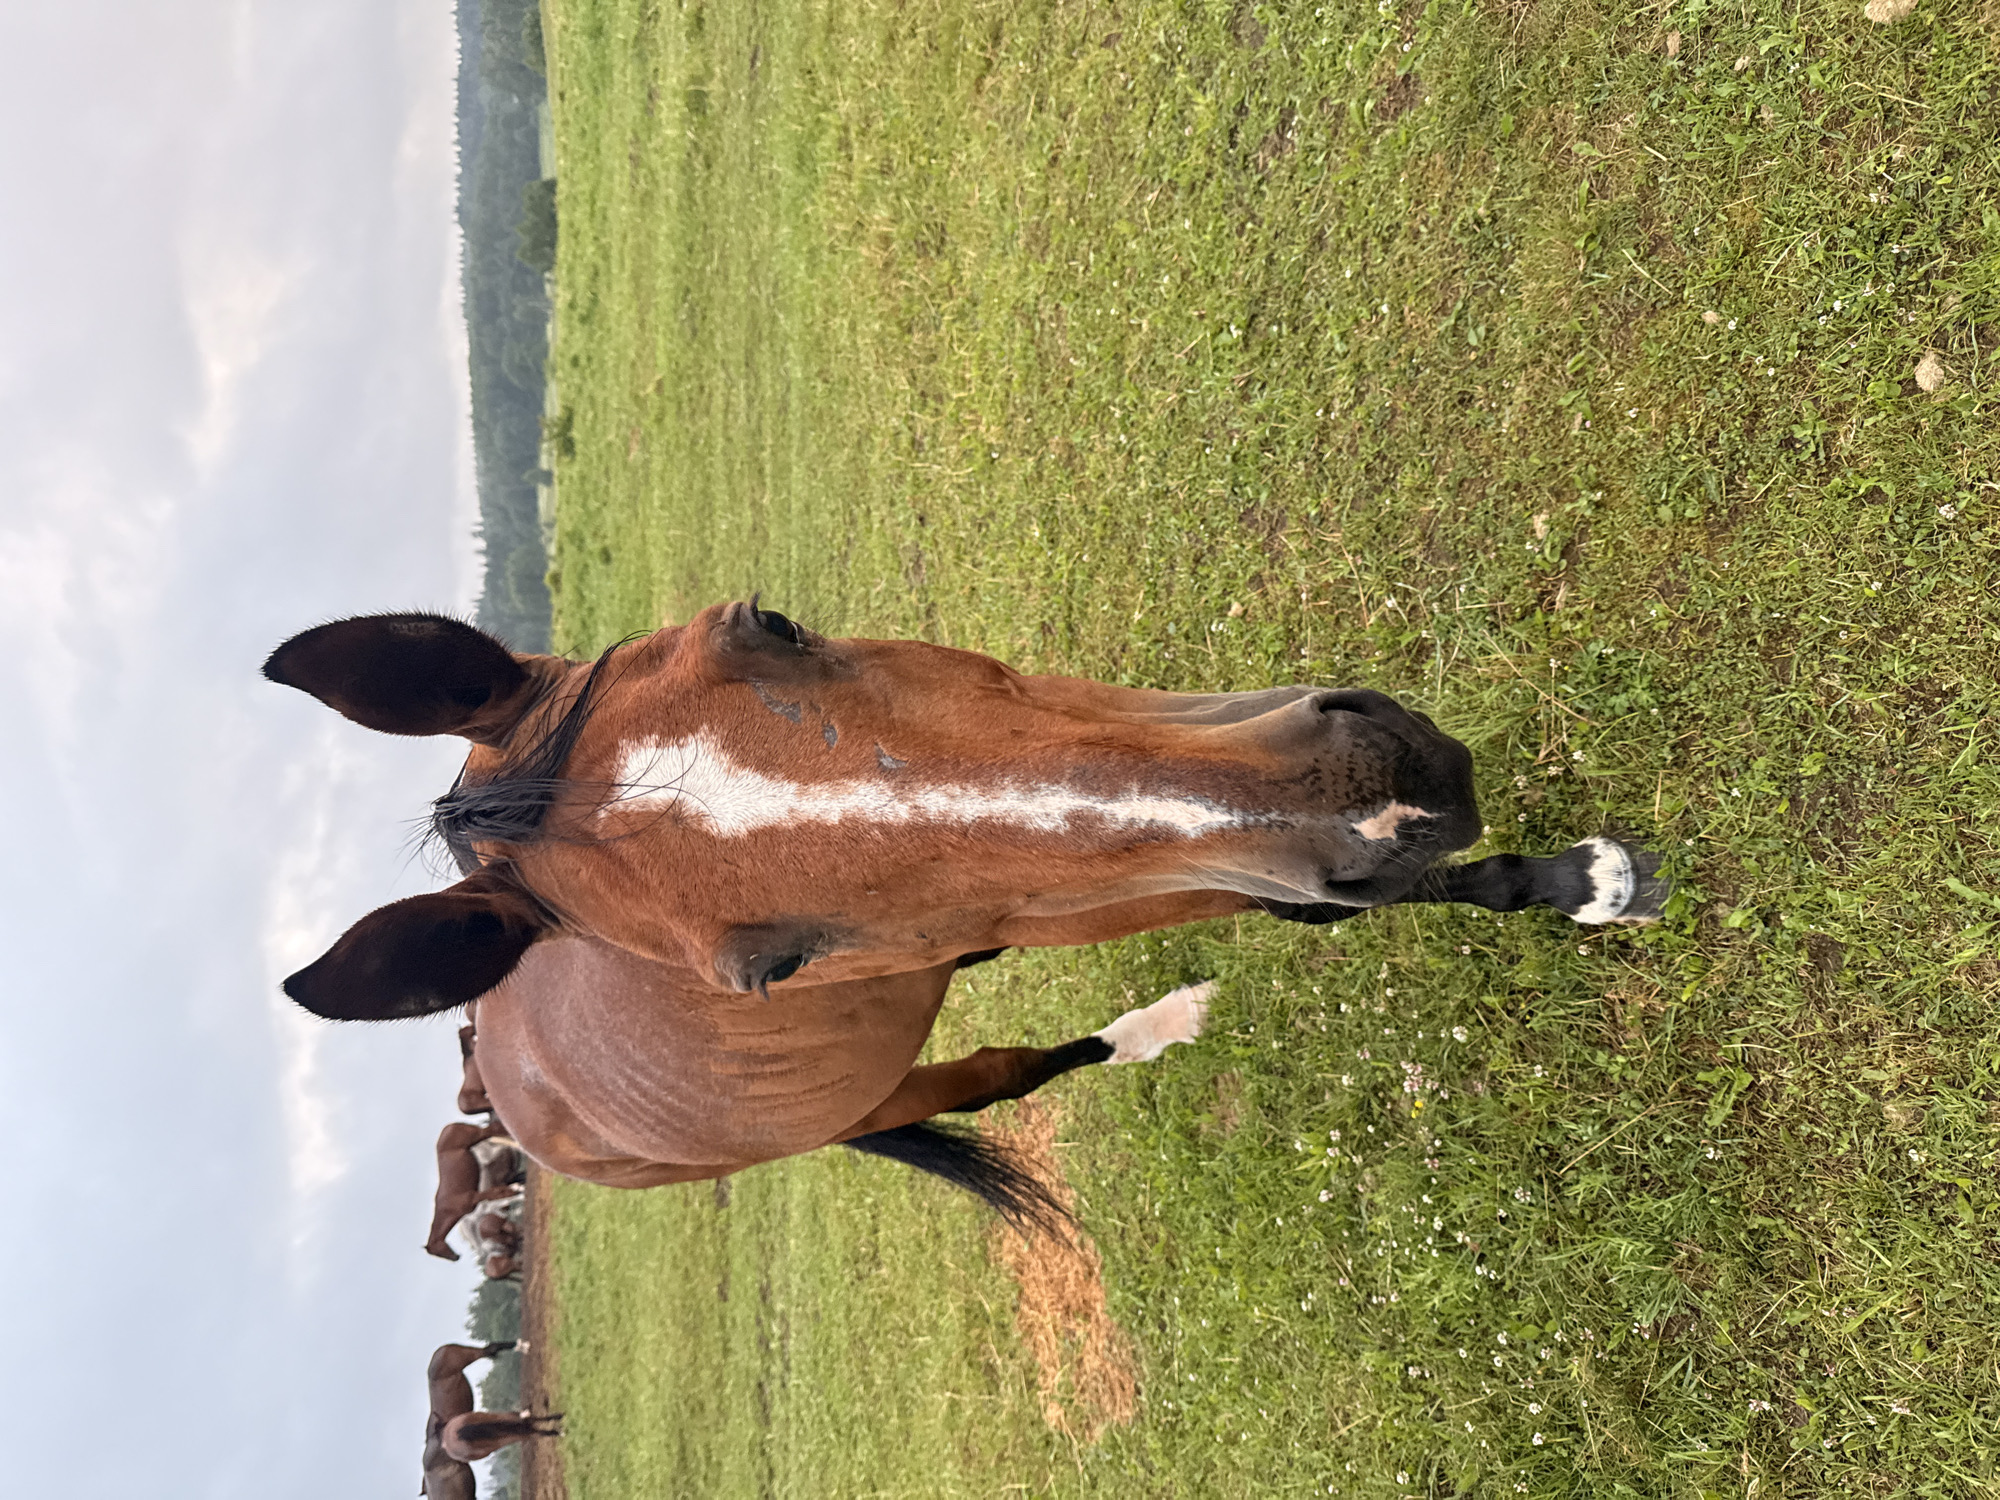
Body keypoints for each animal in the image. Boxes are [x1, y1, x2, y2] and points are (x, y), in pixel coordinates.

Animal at [266, 606, 1664, 1223]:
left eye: (766, 619)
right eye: (767, 970)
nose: (1382, 795)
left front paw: (1565, 879)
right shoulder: (1101, 884)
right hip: (873, 1101)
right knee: (1005, 1071)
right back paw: (1160, 1023)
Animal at [425, 1122, 522, 1259]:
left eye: (438, 1253)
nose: (456, 1257)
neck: (449, 1207)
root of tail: (448, 1128)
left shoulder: (478, 1196)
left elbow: (503, 1194)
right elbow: (504, 1193)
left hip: (481, 1135)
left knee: (496, 1129)